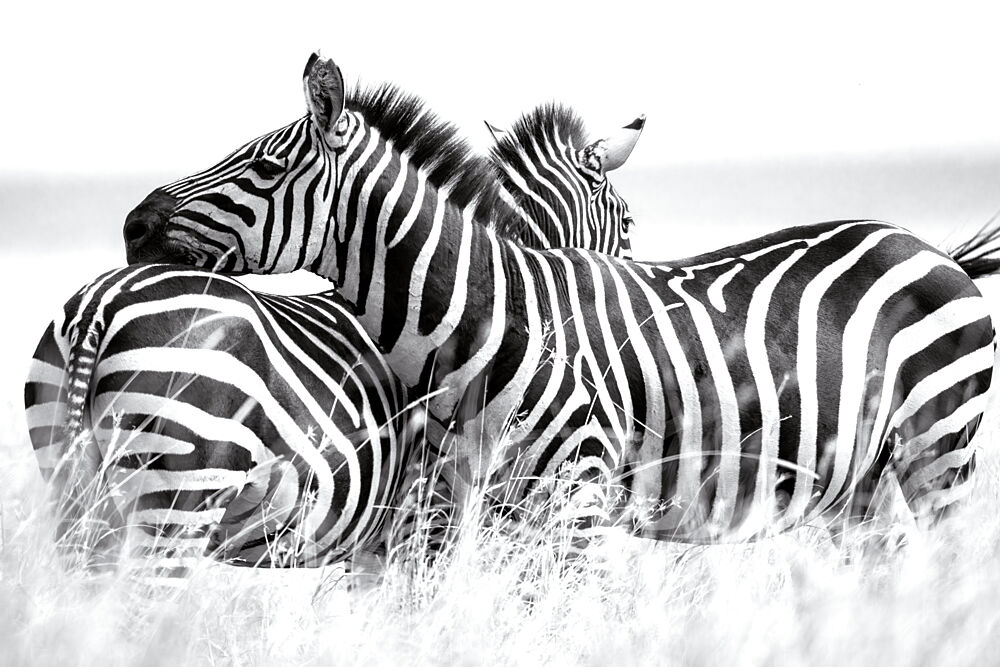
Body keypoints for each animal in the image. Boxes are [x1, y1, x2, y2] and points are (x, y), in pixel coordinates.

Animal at [121, 53, 997, 552]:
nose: (132, 226)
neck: (485, 320)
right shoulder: (477, 507)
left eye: (264, 168)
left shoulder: (573, 496)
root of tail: (924, 245)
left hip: (939, 449)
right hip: (866, 478)